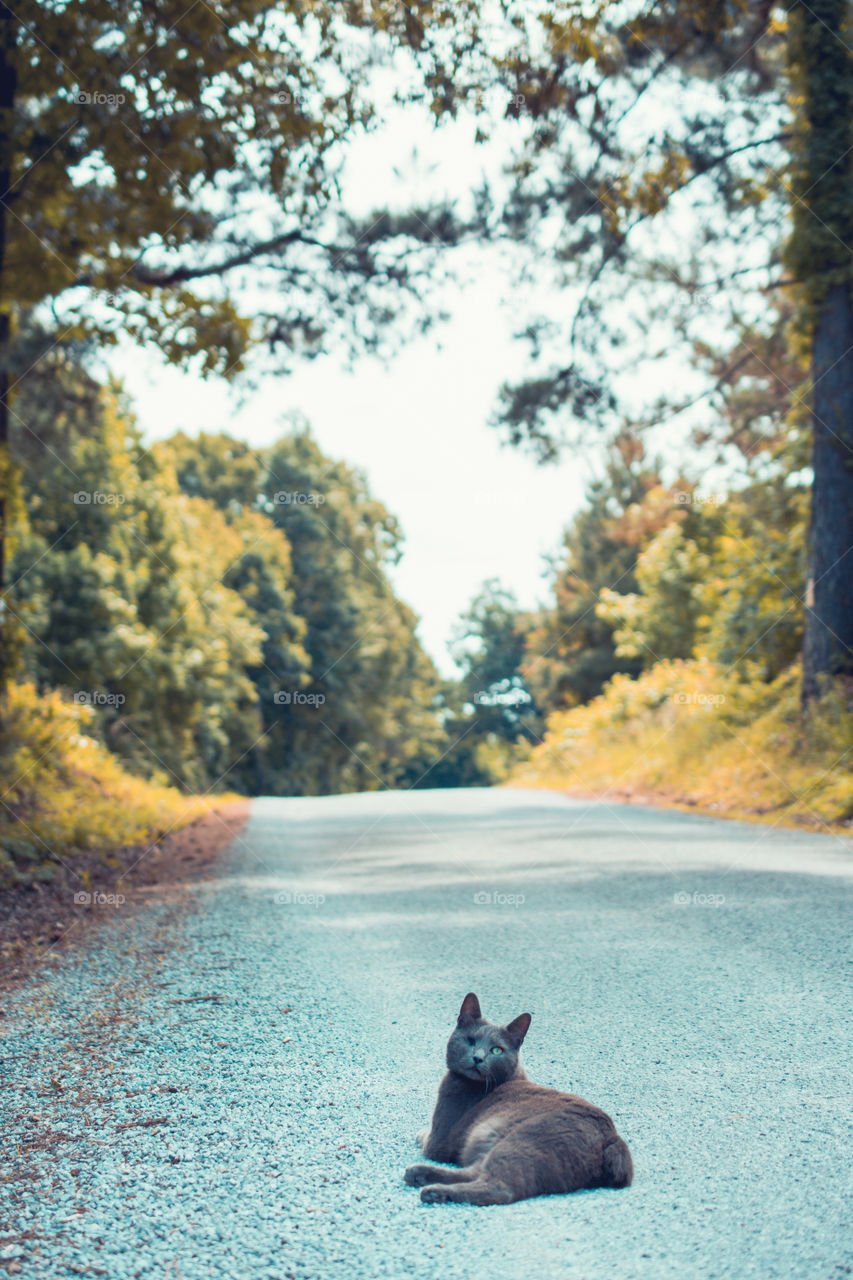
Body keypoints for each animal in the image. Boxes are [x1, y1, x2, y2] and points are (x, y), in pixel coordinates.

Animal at [404, 993, 630, 1203]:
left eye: (496, 1050)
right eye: (470, 1040)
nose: (478, 1058)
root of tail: (613, 1140)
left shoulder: (437, 1141)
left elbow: (426, 1138)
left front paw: (419, 1133)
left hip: (520, 1140)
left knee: (498, 1189)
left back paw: (432, 1191)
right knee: (475, 1171)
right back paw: (418, 1175)